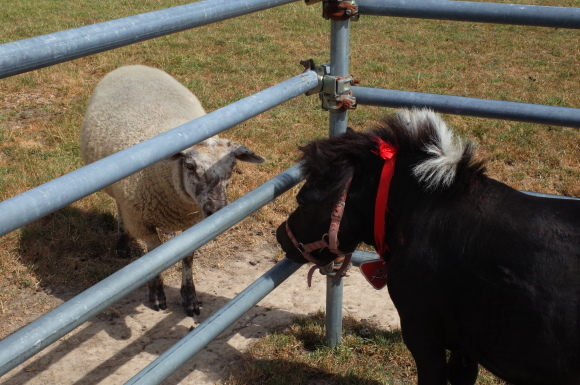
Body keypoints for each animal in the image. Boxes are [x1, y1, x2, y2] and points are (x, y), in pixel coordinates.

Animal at [80, 65, 266, 316]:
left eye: (232, 166)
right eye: (190, 166)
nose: (216, 209)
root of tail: (133, 65)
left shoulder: (194, 223)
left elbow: (187, 259)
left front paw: (190, 298)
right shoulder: (141, 220)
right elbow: (154, 257)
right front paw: (157, 294)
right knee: (120, 208)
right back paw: (122, 243)